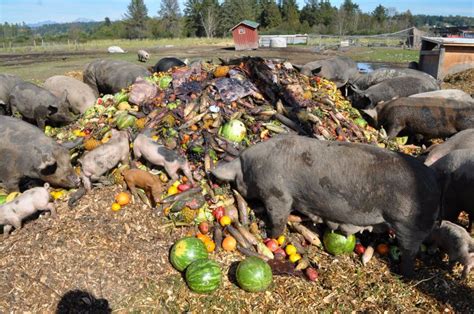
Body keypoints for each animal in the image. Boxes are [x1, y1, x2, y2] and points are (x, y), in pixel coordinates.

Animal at [212, 134, 440, 276]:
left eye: (239, 181)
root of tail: (436, 185)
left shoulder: (278, 195)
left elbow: (278, 221)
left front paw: (269, 235)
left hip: (408, 225)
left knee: (410, 253)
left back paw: (405, 275)